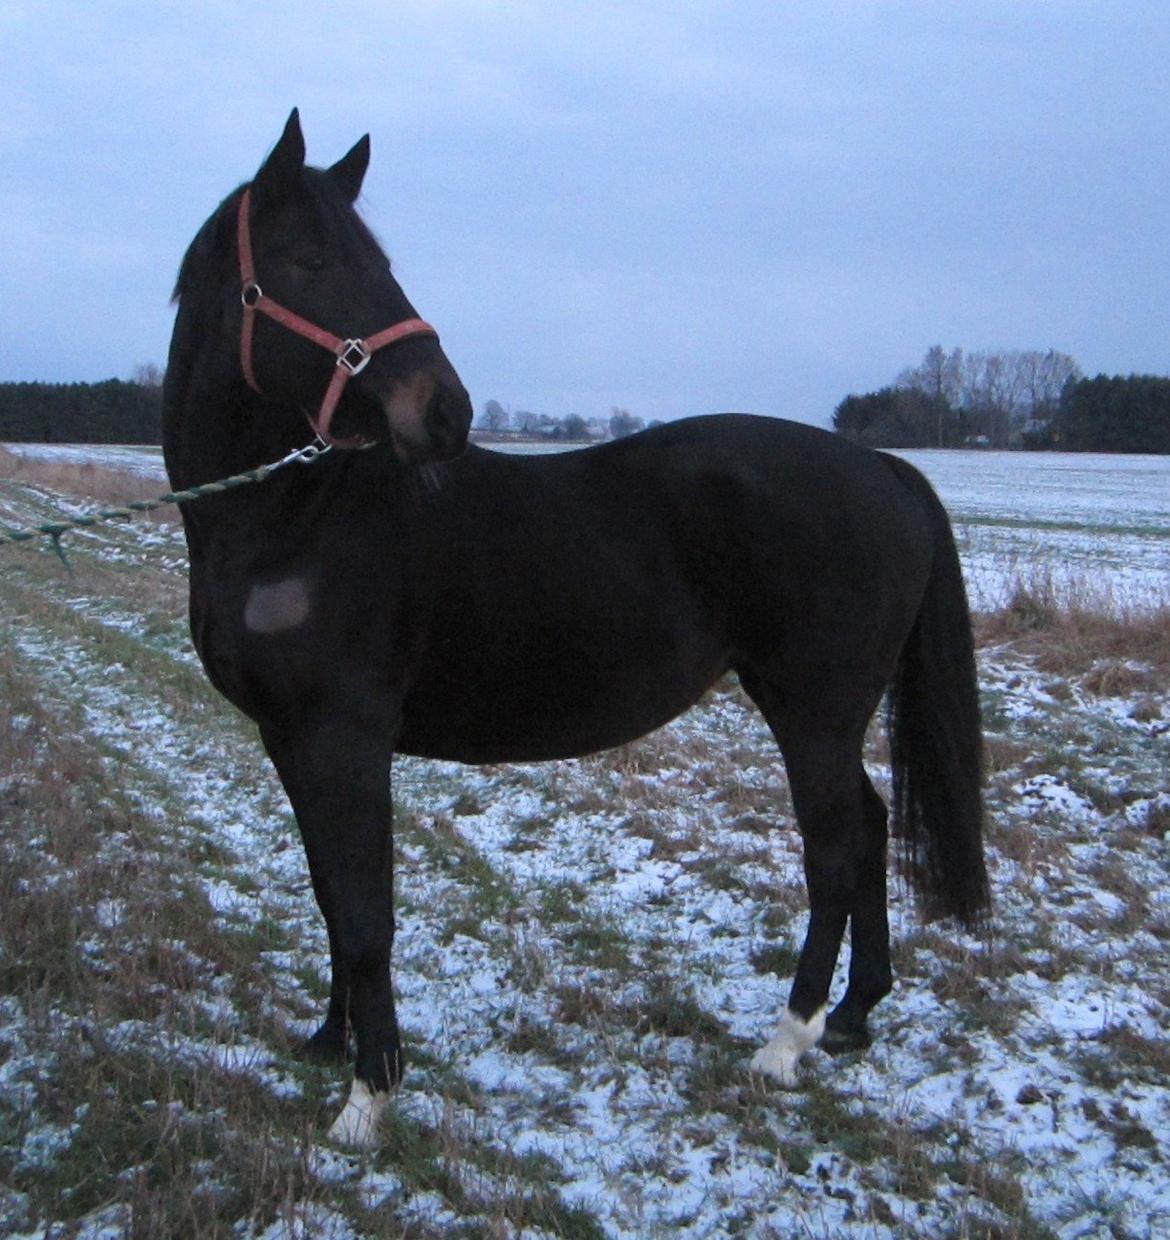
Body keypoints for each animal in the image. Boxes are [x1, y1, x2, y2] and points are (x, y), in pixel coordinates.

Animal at [164, 111, 986, 1145]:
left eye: (375, 261)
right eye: (311, 261)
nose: (446, 411)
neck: (293, 516)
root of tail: (883, 468)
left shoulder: (345, 738)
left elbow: (364, 911)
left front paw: (368, 1096)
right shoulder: (287, 737)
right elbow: (327, 893)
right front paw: (327, 1042)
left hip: (815, 710)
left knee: (835, 850)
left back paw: (784, 1042)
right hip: (821, 714)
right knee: (871, 829)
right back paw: (852, 1016)